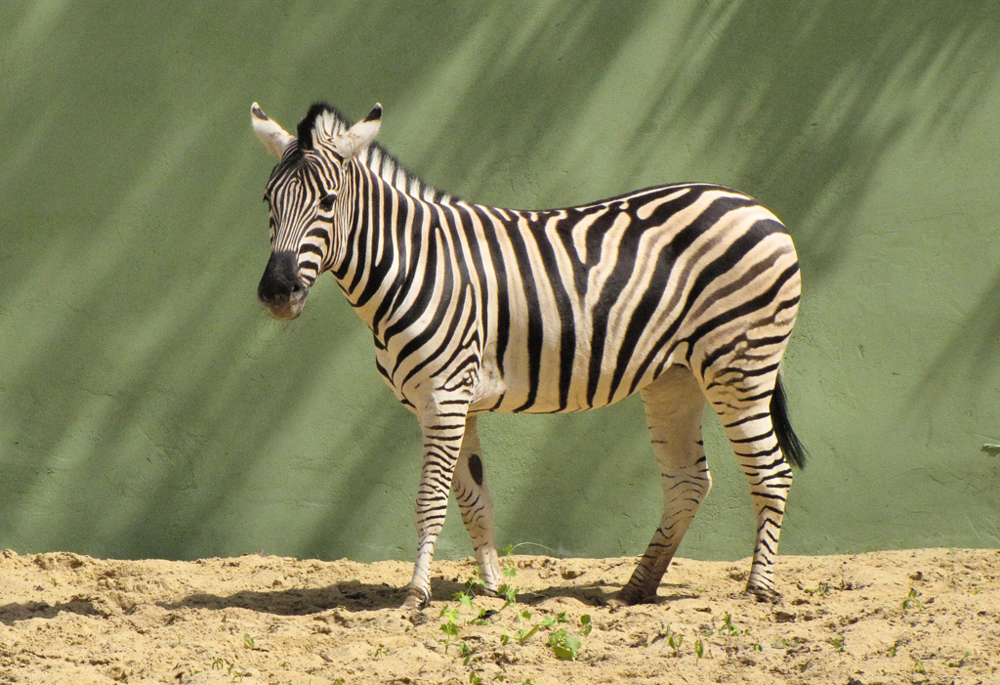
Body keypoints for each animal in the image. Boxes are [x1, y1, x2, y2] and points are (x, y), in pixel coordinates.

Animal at [250, 100, 804, 608]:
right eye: (267, 199)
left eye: (327, 201)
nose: (277, 292)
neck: (411, 265)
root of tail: (753, 204)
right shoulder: (456, 404)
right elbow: (474, 500)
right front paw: (493, 590)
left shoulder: (444, 398)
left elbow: (430, 500)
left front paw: (415, 595)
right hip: (676, 378)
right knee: (688, 482)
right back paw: (635, 589)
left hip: (739, 365)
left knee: (771, 473)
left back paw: (757, 591)